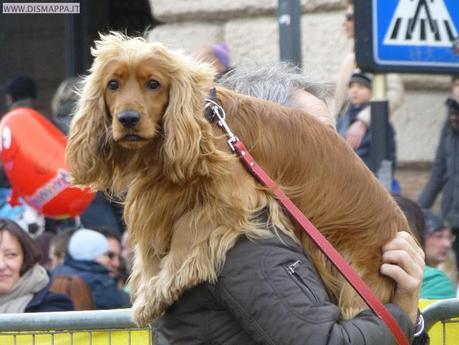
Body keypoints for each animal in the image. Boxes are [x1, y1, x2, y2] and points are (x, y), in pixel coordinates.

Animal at [64, 33, 410, 326]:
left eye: (153, 83)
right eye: (113, 84)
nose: (128, 119)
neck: (205, 126)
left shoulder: (234, 198)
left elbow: (187, 231)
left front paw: (158, 289)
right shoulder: (159, 202)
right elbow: (152, 249)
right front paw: (149, 289)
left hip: (356, 286)